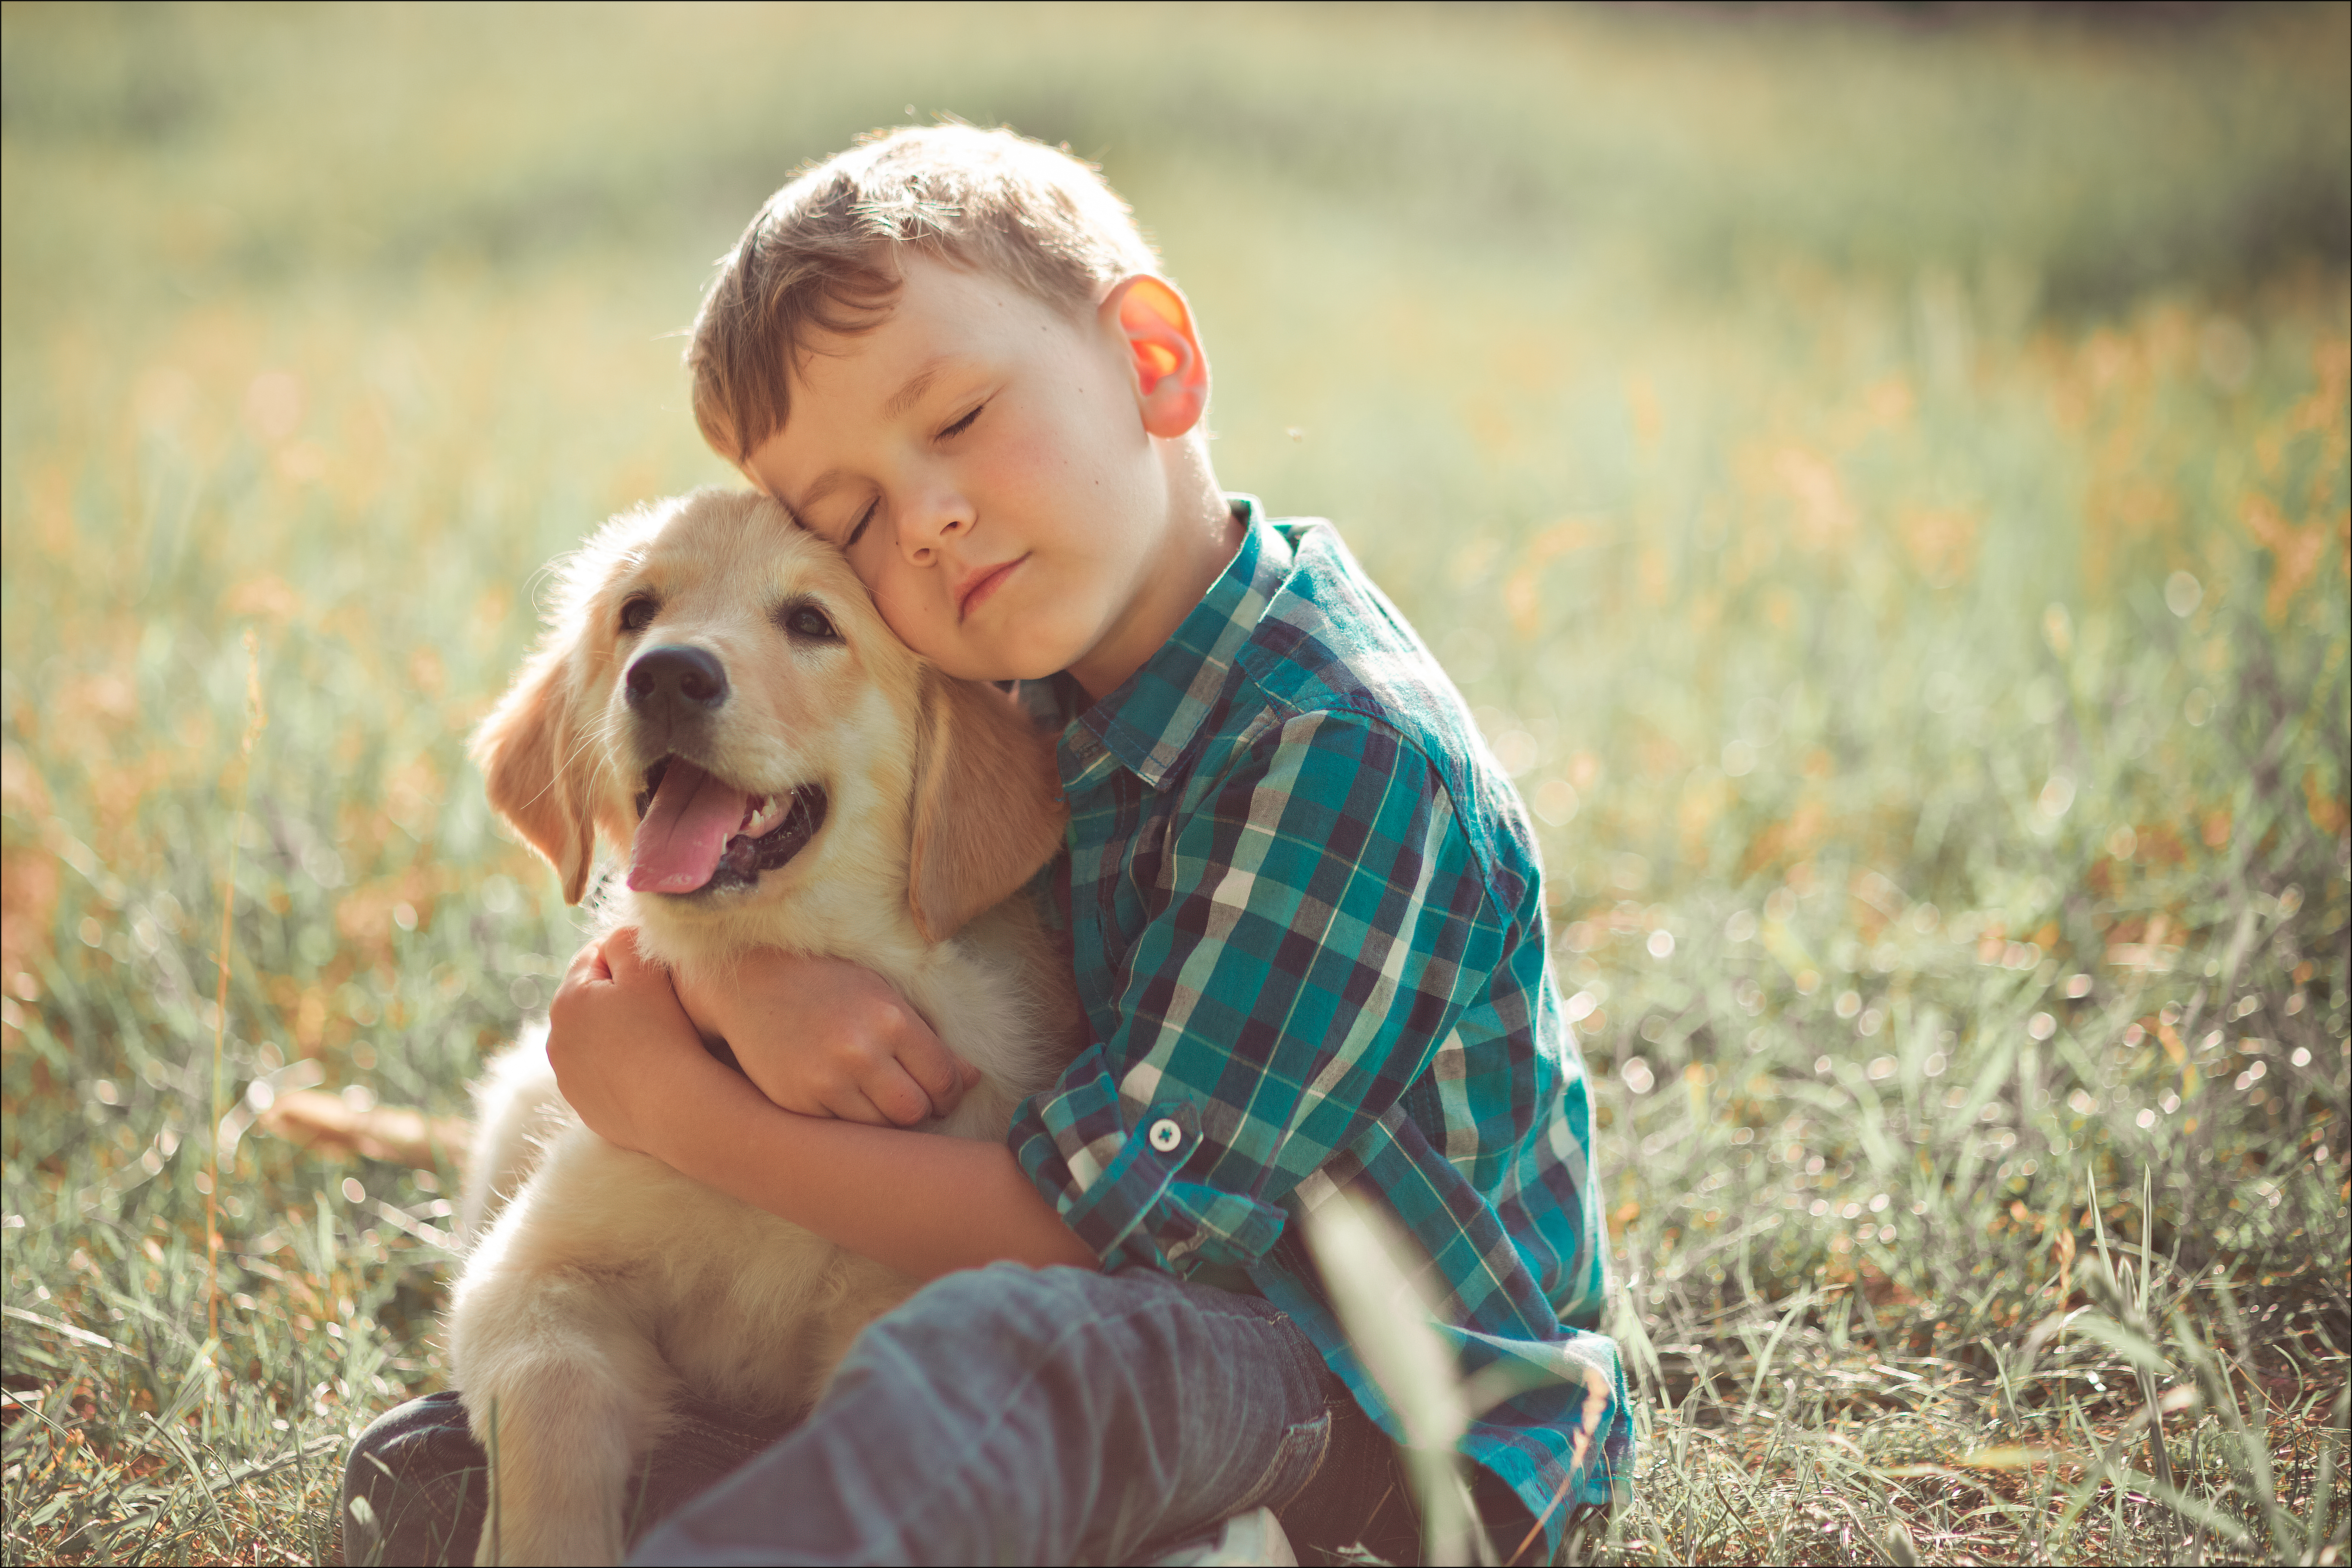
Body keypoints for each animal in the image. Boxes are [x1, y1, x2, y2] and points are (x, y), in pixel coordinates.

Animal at [449, 491, 1082, 1568]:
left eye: (813, 623)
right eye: (637, 612)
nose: (667, 674)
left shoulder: (896, 1293)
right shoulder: (530, 1267)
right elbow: (550, 1387)